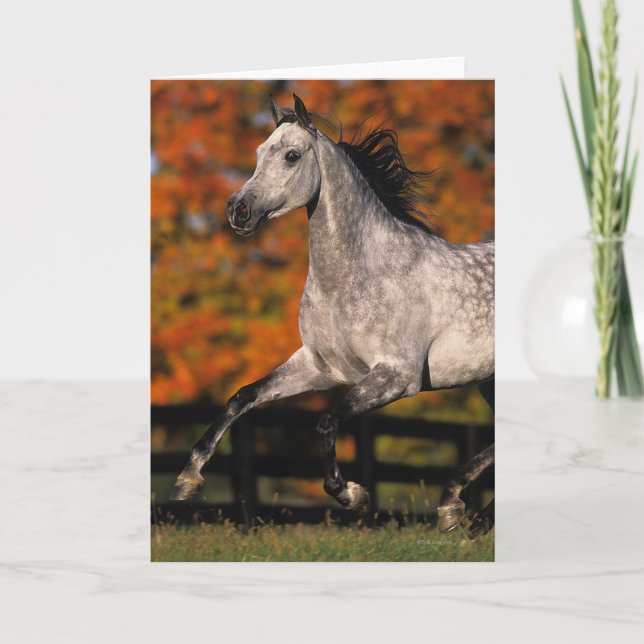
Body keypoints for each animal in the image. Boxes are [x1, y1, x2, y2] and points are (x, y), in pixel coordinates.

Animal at [169, 94, 495, 538]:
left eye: (291, 156)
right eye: (258, 153)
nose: (238, 210)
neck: (355, 276)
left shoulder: (397, 376)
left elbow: (327, 421)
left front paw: (352, 495)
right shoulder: (319, 366)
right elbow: (242, 397)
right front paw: (188, 479)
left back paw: (463, 512)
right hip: (489, 382)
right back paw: (457, 508)